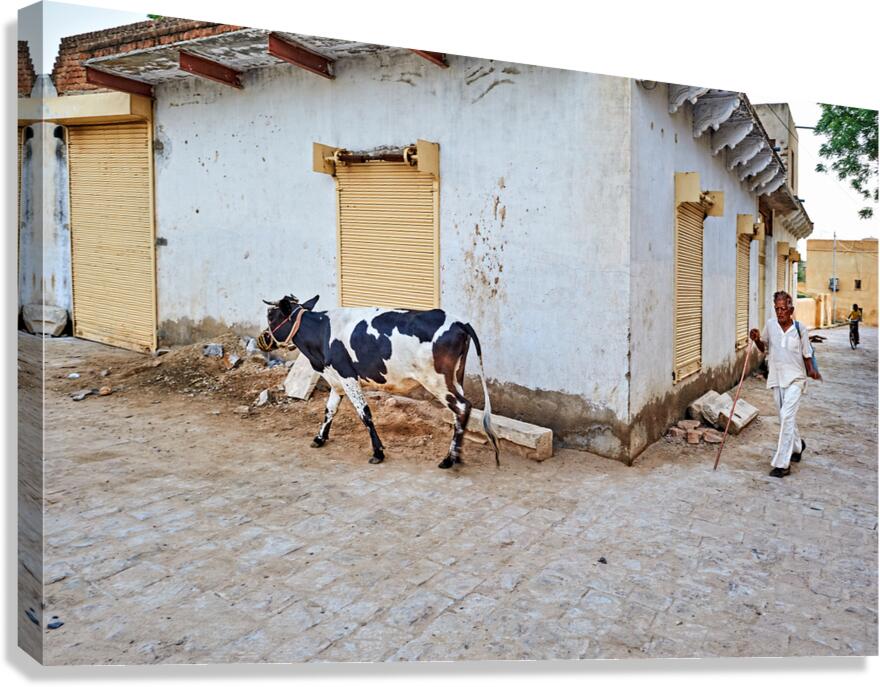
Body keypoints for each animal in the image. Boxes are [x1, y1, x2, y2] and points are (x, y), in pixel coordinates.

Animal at [257, 295, 500, 469]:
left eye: (271, 316)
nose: (264, 338)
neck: (321, 333)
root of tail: (459, 322)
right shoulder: (336, 379)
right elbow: (330, 410)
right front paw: (319, 438)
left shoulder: (347, 375)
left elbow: (364, 413)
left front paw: (378, 452)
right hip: (455, 378)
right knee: (460, 411)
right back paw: (456, 455)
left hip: (436, 380)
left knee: (462, 406)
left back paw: (450, 459)